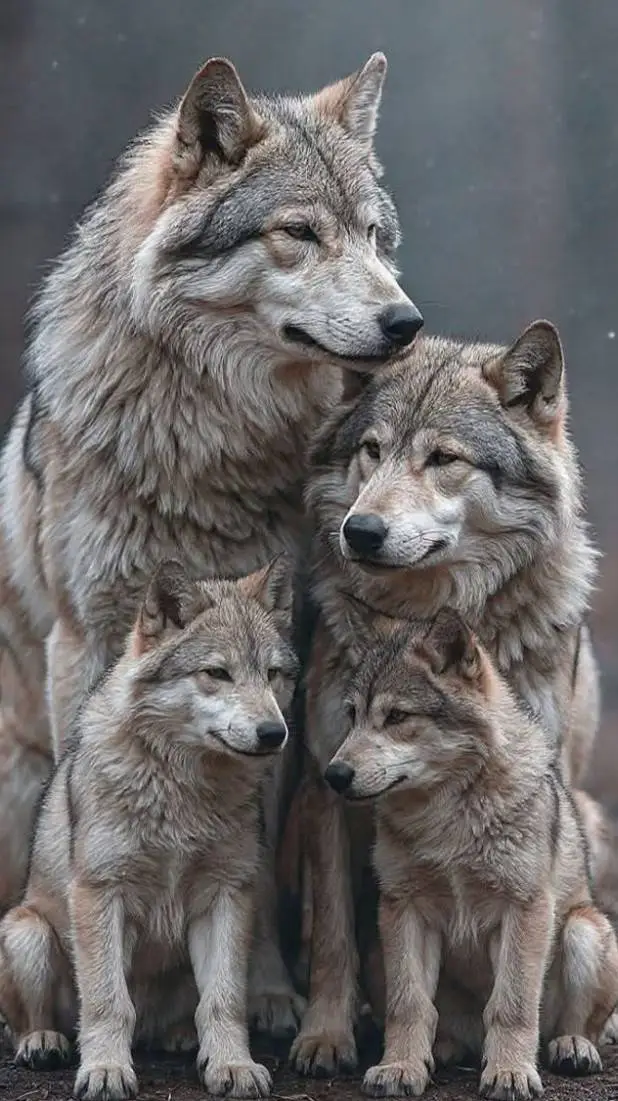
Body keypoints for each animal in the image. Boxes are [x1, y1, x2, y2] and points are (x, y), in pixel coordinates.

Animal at [0, 51, 423, 1033]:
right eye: (298, 233)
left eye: (375, 237)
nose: (406, 323)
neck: (204, 435)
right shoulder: (87, 639)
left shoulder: (279, 667)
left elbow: (250, 851)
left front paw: (263, 990)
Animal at [0, 557, 297, 1101]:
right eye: (216, 673)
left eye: (272, 675)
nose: (274, 733)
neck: (182, 791)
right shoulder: (100, 893)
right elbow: (107, 1002)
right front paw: (105, 1070)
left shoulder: (226, 895)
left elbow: (224, 1000)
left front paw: (233, 1065)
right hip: (29, 933)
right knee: (32, 1022)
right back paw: (44, 1042)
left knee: (178, 1017)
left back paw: (179, 1038)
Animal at [291, 320, 600, 1074]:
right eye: (372, 450)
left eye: (442, 458)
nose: (361, 530)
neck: (423, 615)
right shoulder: (325, 785)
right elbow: (336, 937)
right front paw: (326, 1036)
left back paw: (573, 1040)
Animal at [326, 610, 618, 1100]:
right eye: (352, 715)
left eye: (397, 716)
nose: (335, 774)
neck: (448, 820)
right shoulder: (404, 909)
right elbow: (409, 1005)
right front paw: (400, 1067)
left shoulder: (524, 908)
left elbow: (512, 1005)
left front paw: (510, 1073)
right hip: (376, 949)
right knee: (442, 1024)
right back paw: (442, 1051)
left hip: (584, 929)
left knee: (575, 1025)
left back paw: (572, 1048)